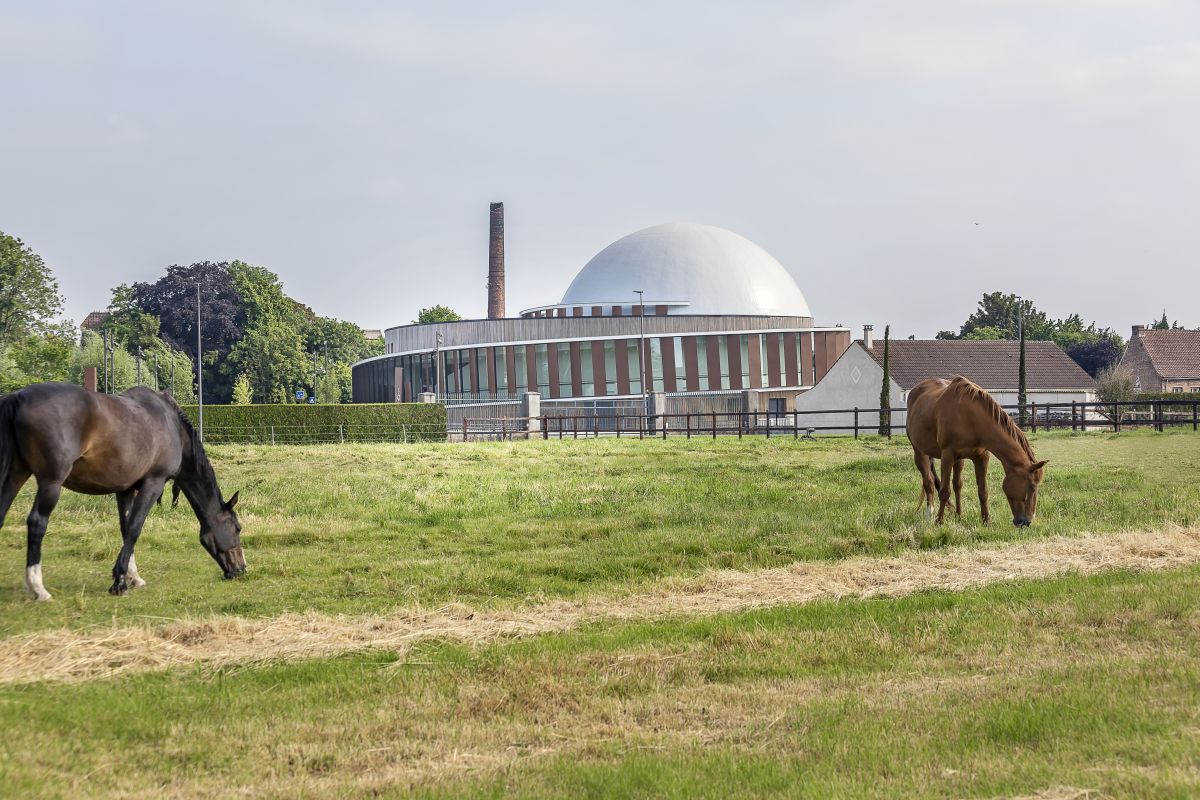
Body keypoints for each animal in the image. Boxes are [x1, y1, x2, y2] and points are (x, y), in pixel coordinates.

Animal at [0, 383, 243, 599]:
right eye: (237, 528)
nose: (241, 569)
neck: (173, 427)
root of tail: (19, 397)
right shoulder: (153, 484)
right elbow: (135, 528)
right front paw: (119, 583)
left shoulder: (125, 490)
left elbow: (126, 529)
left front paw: (132, 577)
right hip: (50, 483)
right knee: (37, 523)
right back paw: (38, 588)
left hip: (15, 476)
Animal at [902, 379, 1046, 527]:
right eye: (1032, 487)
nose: (1027, 521)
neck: (969, 417)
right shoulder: (947, 456)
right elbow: (944, 491)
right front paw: (939, 521)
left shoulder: (981, 457)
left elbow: (983, 491)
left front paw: (986, 521)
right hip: (920, 452)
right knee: (929, 483)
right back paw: (929, 514)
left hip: (958, 459)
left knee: (957, 485)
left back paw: (959, 515)